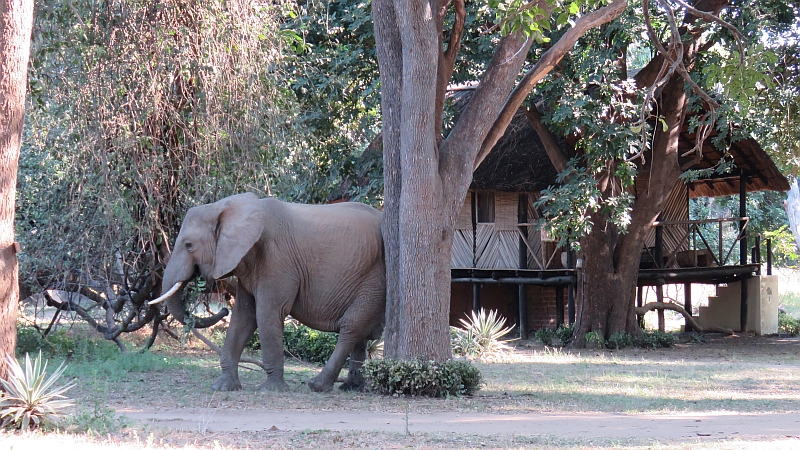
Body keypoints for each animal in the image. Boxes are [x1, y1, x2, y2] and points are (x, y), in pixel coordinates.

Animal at [152, 192, 388, 392]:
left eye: (189, 245)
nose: (223, 311)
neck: (226, 207)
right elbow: (243, 317)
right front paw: (223, 387)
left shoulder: (276, 260)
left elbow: (267, 314)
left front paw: (270, 390)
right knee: (362, 332)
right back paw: (351, 387)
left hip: (374, 279)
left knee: (351, 328)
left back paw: (317, 385)